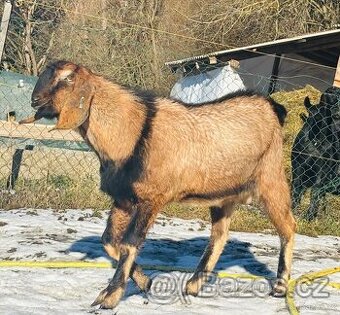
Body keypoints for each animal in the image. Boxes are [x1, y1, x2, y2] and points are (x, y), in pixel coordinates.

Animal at [25, 61, 294, 308]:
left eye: (68, 78)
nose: (35, 100)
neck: (133, 132)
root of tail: (271, 106)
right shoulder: (123, 198)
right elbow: (110, 240)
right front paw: (145, 282)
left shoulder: (151, 198)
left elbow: (129, 242)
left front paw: (111, 296)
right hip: (223, 195)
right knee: (220, 235)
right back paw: (193, 285)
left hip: (271, 179)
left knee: (288, 226)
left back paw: (280, 287)